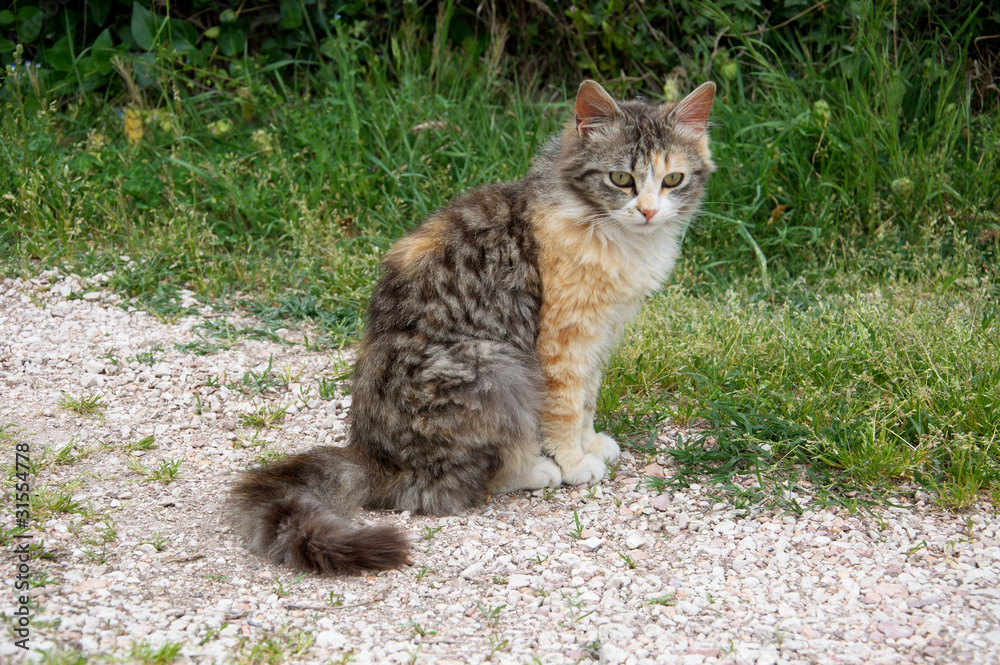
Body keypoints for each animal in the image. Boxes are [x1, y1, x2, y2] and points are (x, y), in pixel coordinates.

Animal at [230, 79, 716, 572]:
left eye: (672, 180)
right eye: (621, 179)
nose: (649, 211)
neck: (609, 233)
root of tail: (375, 457)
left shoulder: (599, 336)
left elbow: (587, 402)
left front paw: (589, 444)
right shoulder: (565, 340)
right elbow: (565, 408)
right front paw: (574, 462)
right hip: (498, 368)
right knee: (462, 484)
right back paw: (538, 470)